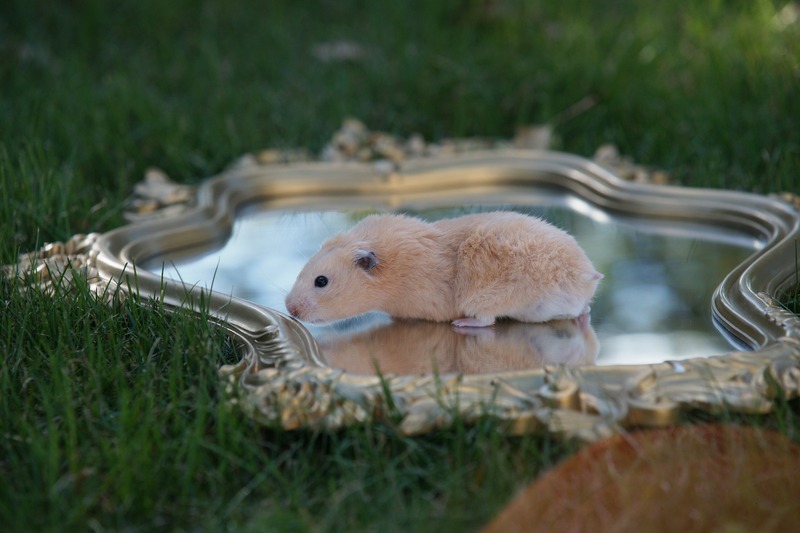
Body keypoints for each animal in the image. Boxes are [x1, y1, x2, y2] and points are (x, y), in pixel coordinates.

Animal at [285, 212, 602, 327]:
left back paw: (462, 325)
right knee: (581, 310)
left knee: (487, 321)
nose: (290, 309)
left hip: (489, 297)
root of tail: (584, 274)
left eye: (321, 281)